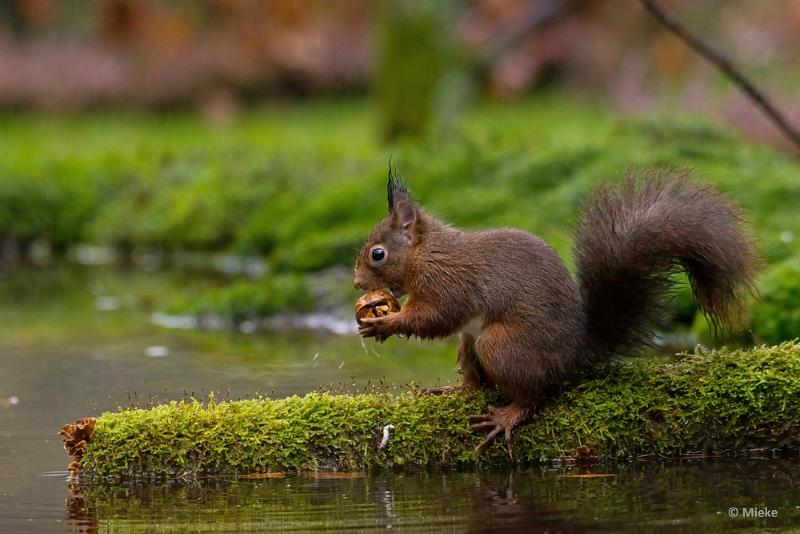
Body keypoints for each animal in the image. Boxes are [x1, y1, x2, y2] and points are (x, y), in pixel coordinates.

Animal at [354, 170, 760, 454]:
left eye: (378, 254)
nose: (357, 284)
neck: (427, 254)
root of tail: (573, 357)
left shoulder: (449, 283)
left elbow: (435, 317)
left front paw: (387, 323)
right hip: (471, 344)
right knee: (477, 383)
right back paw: (454, 390)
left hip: (501, 346)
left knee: (533, 395)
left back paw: (506, 417)